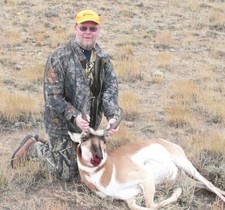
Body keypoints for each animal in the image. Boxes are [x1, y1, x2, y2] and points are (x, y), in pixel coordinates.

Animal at [69, 110, 225, 209]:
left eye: (104, 141)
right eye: (84, 138)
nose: (99, 157)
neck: (108, 171)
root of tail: (163, 141)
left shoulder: (146, 178)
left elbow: (151, 205)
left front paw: (176, 194)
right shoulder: (129, 199)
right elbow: (142, 207)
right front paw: (177, 193)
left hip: (185, 164)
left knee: (209, 183)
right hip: (183, 178)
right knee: (203, 185)